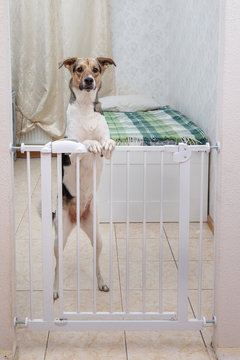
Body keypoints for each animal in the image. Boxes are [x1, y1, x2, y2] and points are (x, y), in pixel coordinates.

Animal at [53, 57, 116, 300]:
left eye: (96, 70)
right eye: (79, 69)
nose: (89, 80)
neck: (86, 107)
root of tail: (77, 218)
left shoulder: (107, 141)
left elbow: (107, 141)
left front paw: (105, 144)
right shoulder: (70, 150)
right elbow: (85, 142)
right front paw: (93, 144)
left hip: (97, 237)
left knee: (97, 263)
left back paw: (102, 282)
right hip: (58, 238)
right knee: (56, 266)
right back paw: (54, 289)